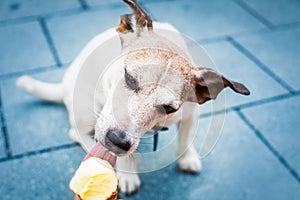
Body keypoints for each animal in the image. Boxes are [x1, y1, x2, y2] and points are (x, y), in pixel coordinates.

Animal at [17, 0, 251, 195]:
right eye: (129, 78)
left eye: (169, 108)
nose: (118, 141)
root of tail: (64, 86)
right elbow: (122, 154)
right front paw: (128, 173)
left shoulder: (189, 115)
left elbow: (186, 140)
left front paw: (188, 159)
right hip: (86, 110)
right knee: (77, 133)